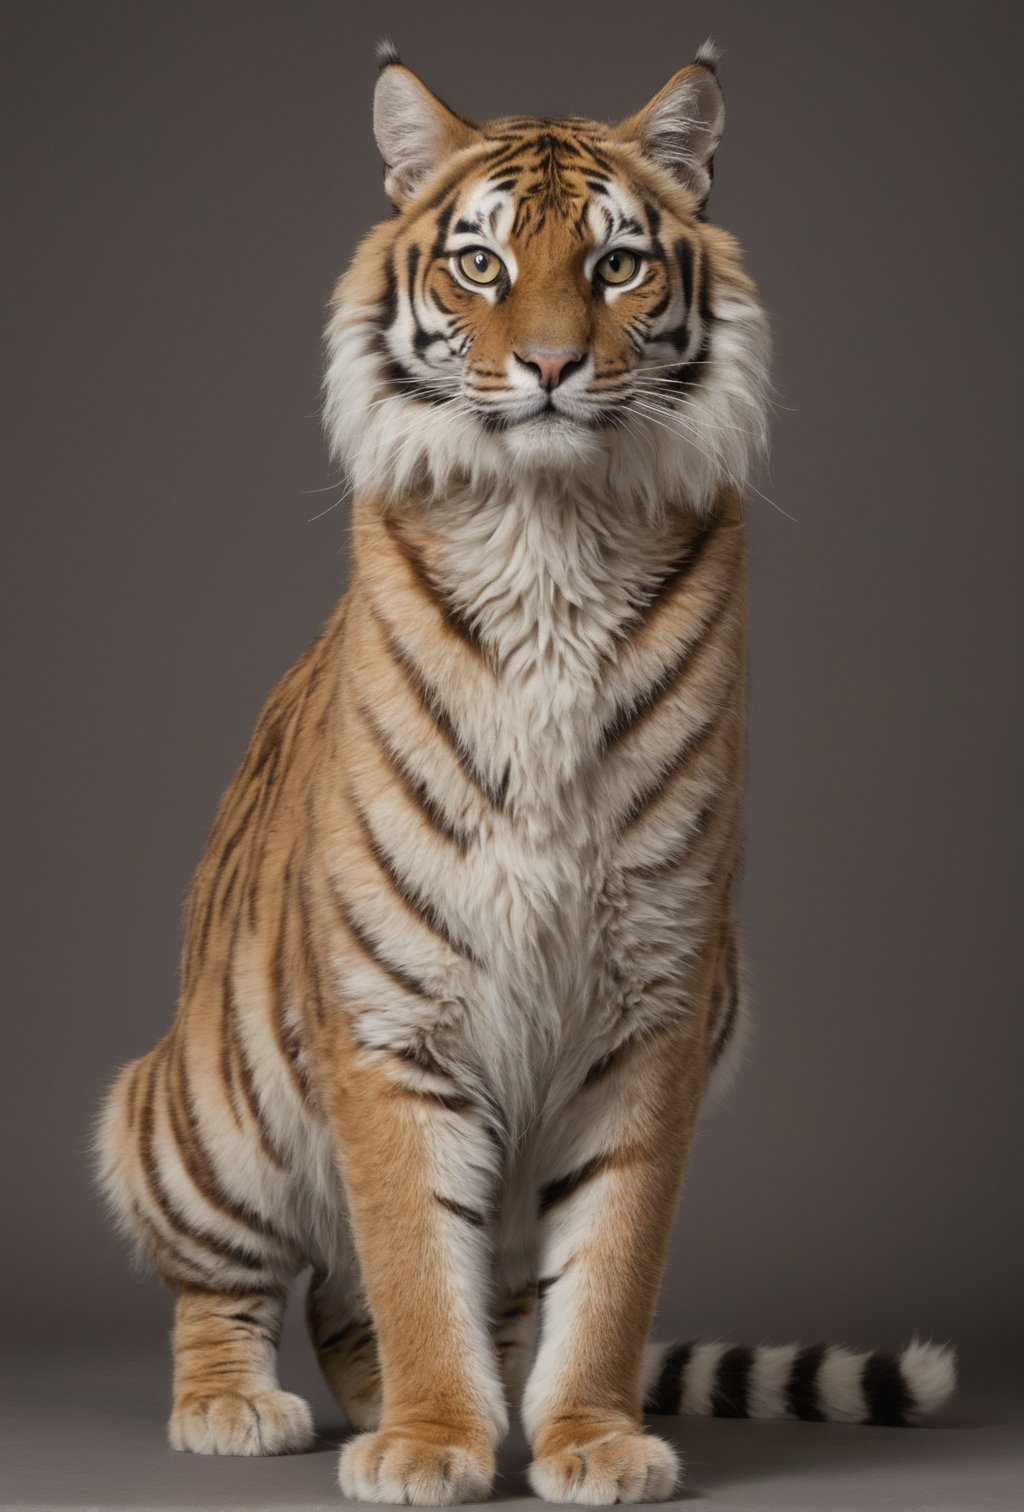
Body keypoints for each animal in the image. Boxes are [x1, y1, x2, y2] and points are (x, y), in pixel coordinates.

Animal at [93, 41, 949, 1505]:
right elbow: (408, 1255)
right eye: (482, 266)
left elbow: (608, 1262)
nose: (549, 364)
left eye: (616, 265)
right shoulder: (392, 1008)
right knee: (240, 1279)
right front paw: (432, 1442)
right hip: (200, 1111)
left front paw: (585, 1438)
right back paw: (238, 1404)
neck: (553, 529)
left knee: (380, 1302)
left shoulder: (660, 993)